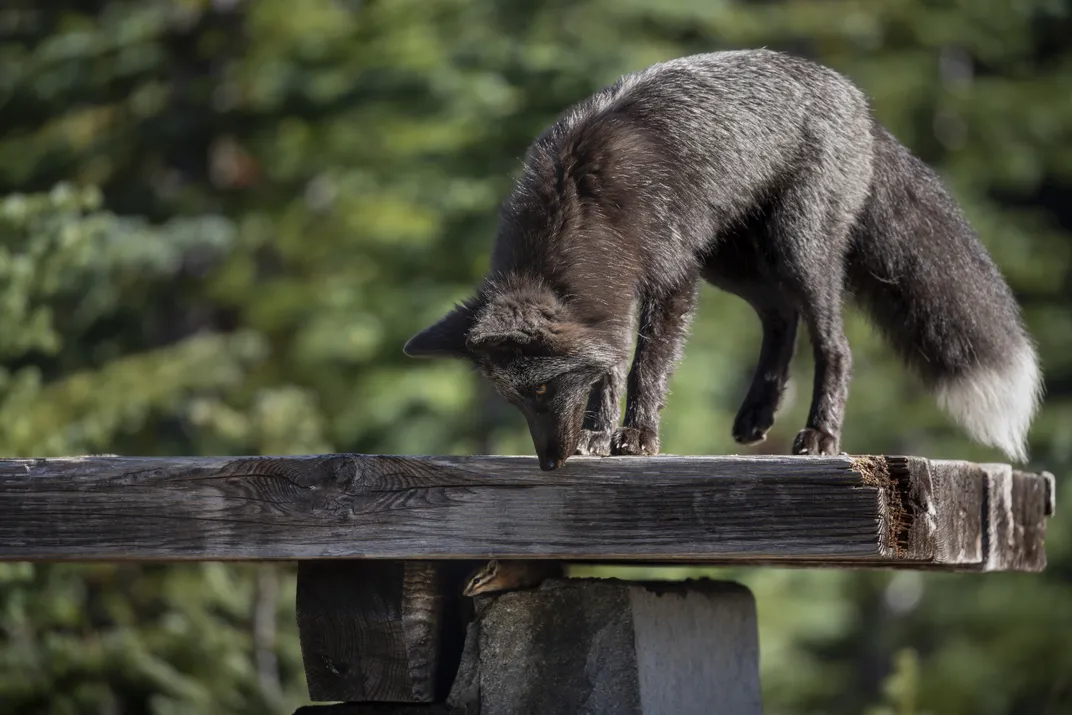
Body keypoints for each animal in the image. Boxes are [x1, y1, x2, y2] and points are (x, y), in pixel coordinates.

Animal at [404, 49, 1043, 471]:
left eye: (538, 391)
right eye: (514, 400)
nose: (549, 466)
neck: (581, 202)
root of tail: (858, 103)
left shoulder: (672, 280)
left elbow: (643, 368)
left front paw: (635, 437)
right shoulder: (621, 297)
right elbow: (608, 367)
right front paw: (598, 436)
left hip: (797, 249)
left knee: (834, 344)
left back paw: (820, 436)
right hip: (732, 262)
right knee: (781, 315)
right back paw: (759, 411)